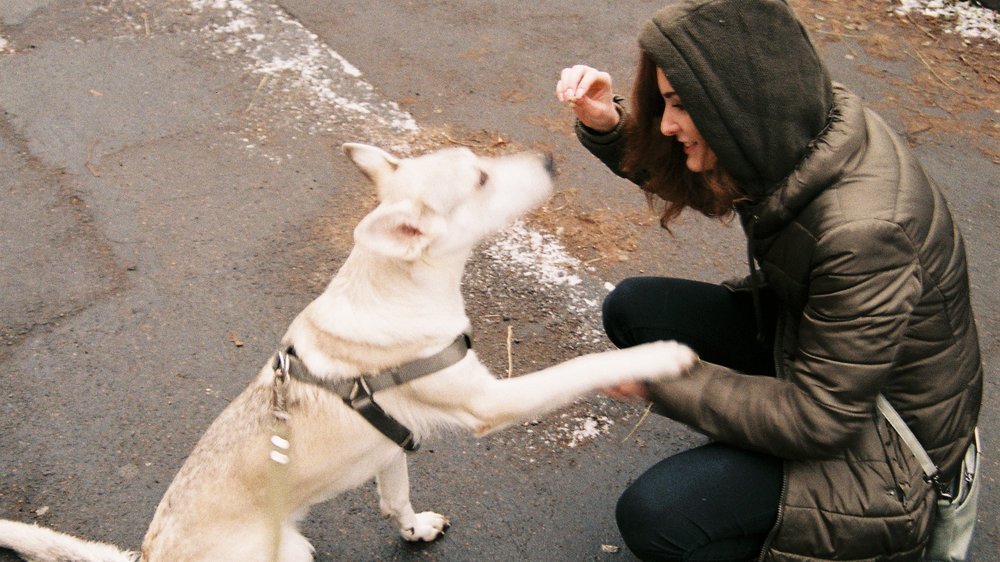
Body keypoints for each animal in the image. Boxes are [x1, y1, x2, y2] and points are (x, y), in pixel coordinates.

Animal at [0, 144, 696, 560]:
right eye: (479, 178)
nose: (552, 158)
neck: (400, 286)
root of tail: (149, 556)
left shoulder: (391, 443)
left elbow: (395, 498)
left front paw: (414, 529)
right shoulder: (489, 402)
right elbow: (584, 365)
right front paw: (660, 356)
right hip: (286, 550)